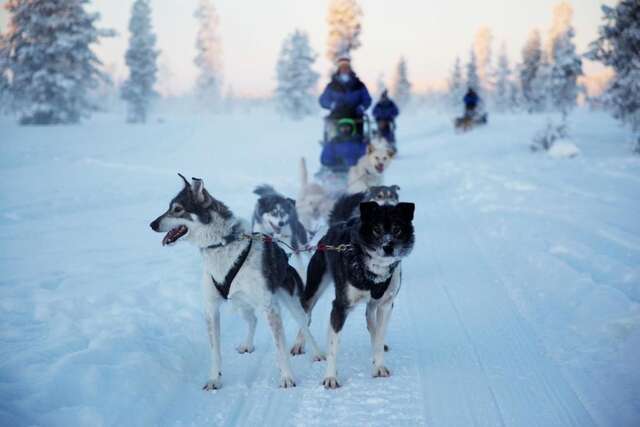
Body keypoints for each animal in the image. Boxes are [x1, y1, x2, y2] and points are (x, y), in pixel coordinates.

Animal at [296, 202, 412, 390]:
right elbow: (333, 345)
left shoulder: (386, 304)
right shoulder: (340, 306)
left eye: (397, 229)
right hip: (313, 290)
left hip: (373, 305)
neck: (374, 271)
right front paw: (330, 377)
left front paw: (379, 366)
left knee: (371, 322)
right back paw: (298, 344)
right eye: (376, 229)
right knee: (304, 314)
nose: (388, 247)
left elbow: (379, 336)